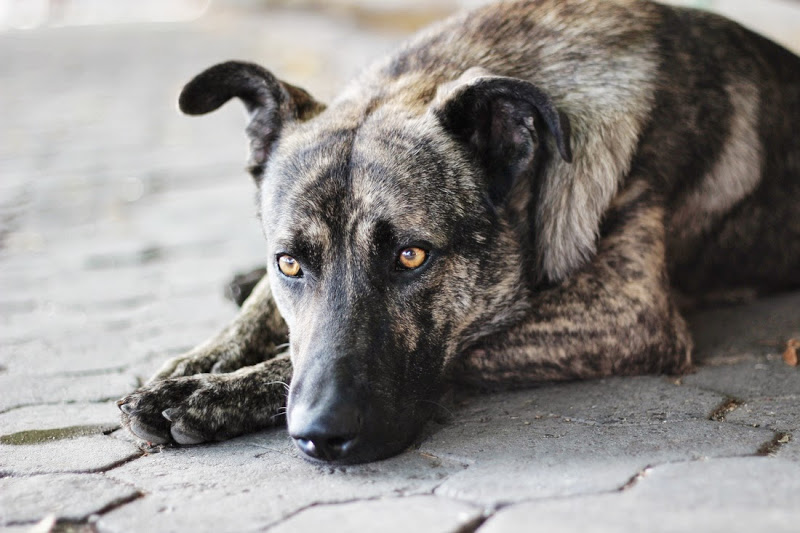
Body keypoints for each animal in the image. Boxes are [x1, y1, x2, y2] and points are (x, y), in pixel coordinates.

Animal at [119, 0, 800, 462]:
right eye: (290, 263)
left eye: (412, 257)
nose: (320, 436)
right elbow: (265, 318)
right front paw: (201, 362)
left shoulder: (624, 314)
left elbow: (460, 341)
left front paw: (207, 395)